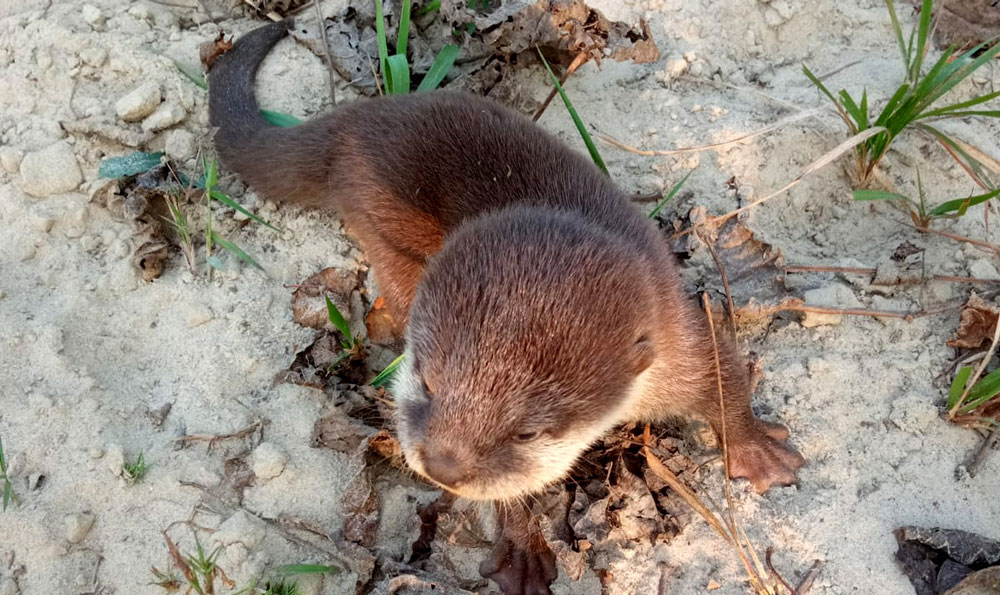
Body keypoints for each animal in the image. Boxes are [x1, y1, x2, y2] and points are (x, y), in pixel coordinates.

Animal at [209, 19, 804, 595]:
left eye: (528, 432)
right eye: (427, 383)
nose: (443, 466)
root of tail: (361, 117)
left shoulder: (676, 331)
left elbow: (725, 374)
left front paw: (761, 452)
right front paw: (521, 548)